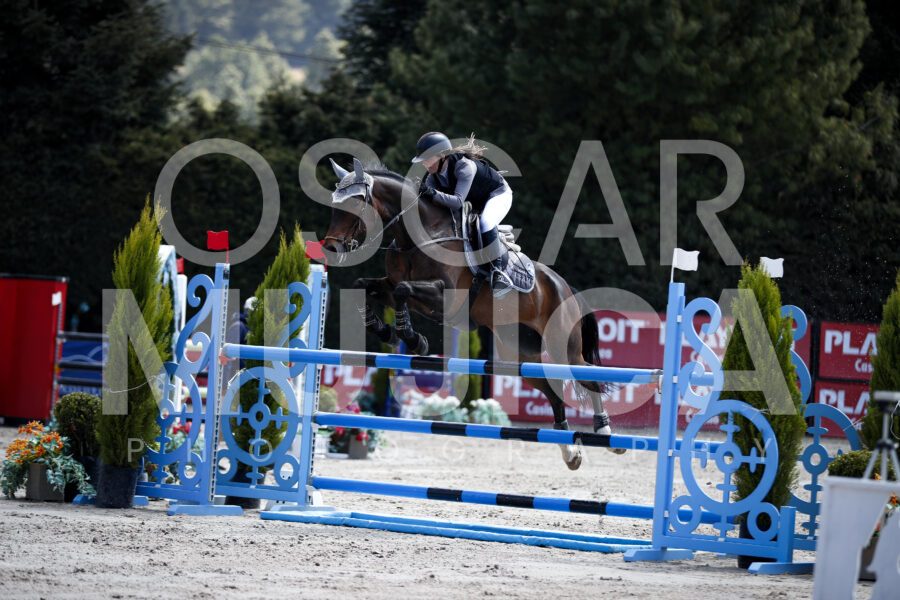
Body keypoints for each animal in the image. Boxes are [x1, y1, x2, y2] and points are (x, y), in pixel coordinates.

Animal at [321, 160, 623, 469]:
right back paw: (570, 452)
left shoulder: (447, 298)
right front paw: (386, 331)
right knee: (554, 393)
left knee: (589, 376)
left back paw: (605, 433)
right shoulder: (393, 285)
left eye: (356, 203)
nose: (331, 248)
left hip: (563, 346)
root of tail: (564, 286)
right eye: (334, 205)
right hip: (520, 355)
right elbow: (367, 286)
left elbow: (404, 290)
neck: (419, 238)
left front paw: (414, 339)